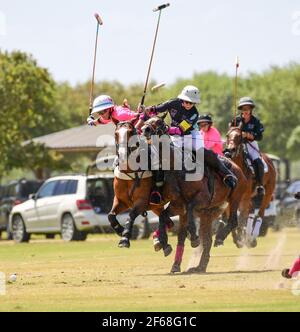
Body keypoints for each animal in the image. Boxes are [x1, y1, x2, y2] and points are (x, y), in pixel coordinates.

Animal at [142, 116, 247, 272]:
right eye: (146, 120)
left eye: (159, 122)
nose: (145, 129)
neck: (177, 168)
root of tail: (237, 168)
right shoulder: (178, 206)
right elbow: (163, 217)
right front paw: (164, 244)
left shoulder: (202, 198)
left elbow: (190, 208)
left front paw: (193, 238)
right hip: (208, 213)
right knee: (208, 238)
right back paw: (199, 266)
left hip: (235, 198)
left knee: (233, 221)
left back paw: (219, 238)